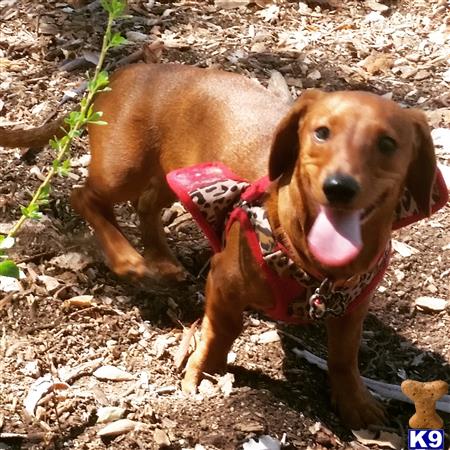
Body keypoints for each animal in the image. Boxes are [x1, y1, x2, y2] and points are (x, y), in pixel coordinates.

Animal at [0, 63, 442, 428]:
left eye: (387, 144)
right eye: (321, 132)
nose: (339, 187)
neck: (313, 267)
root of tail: (126, 74)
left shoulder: (353, 306)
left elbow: (345, 356)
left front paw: (355, 402)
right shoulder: (224, 282)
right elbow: (223, 329)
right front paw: (203, 371)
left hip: (175, 173)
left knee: (145, 204)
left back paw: (161, 259)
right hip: (123, 169)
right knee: (85, 197)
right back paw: (129, 260)